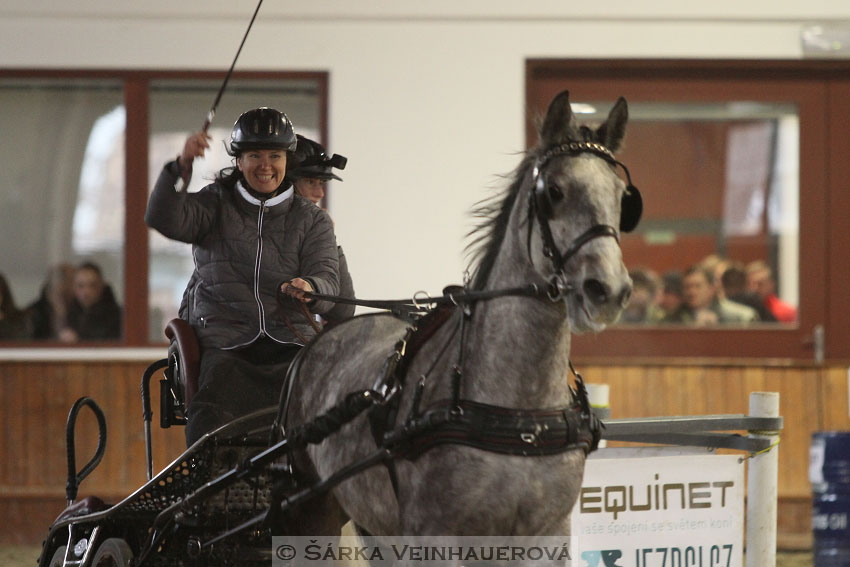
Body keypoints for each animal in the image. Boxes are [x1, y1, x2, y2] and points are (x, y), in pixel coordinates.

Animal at [284, 91, 636, 540]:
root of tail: (317, 340)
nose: (608, 290)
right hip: (310, 511)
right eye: (554, 191)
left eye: (624, 198)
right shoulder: (437, 532)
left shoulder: (549, 533)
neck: (523, 419)